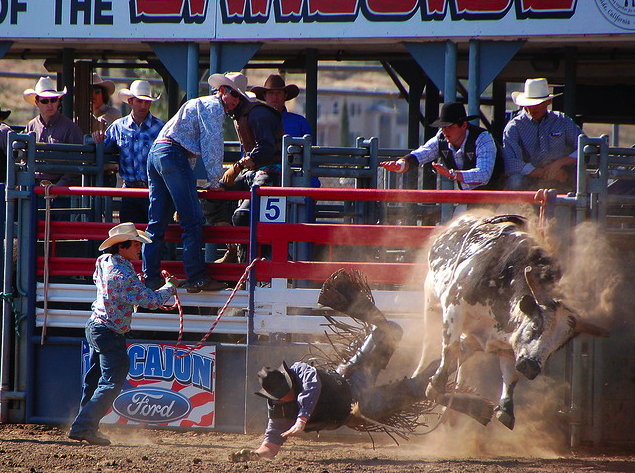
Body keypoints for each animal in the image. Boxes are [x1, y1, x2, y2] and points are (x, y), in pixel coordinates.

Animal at [414, 216, 608, 430]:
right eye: (535, 325)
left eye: (558, 347)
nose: (531, 367)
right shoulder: (454, 304)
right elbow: (447, 358)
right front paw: (438, 386)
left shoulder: (506, 343)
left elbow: (510, 378)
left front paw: (501, 409)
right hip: (431, 303)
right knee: (429, 347)